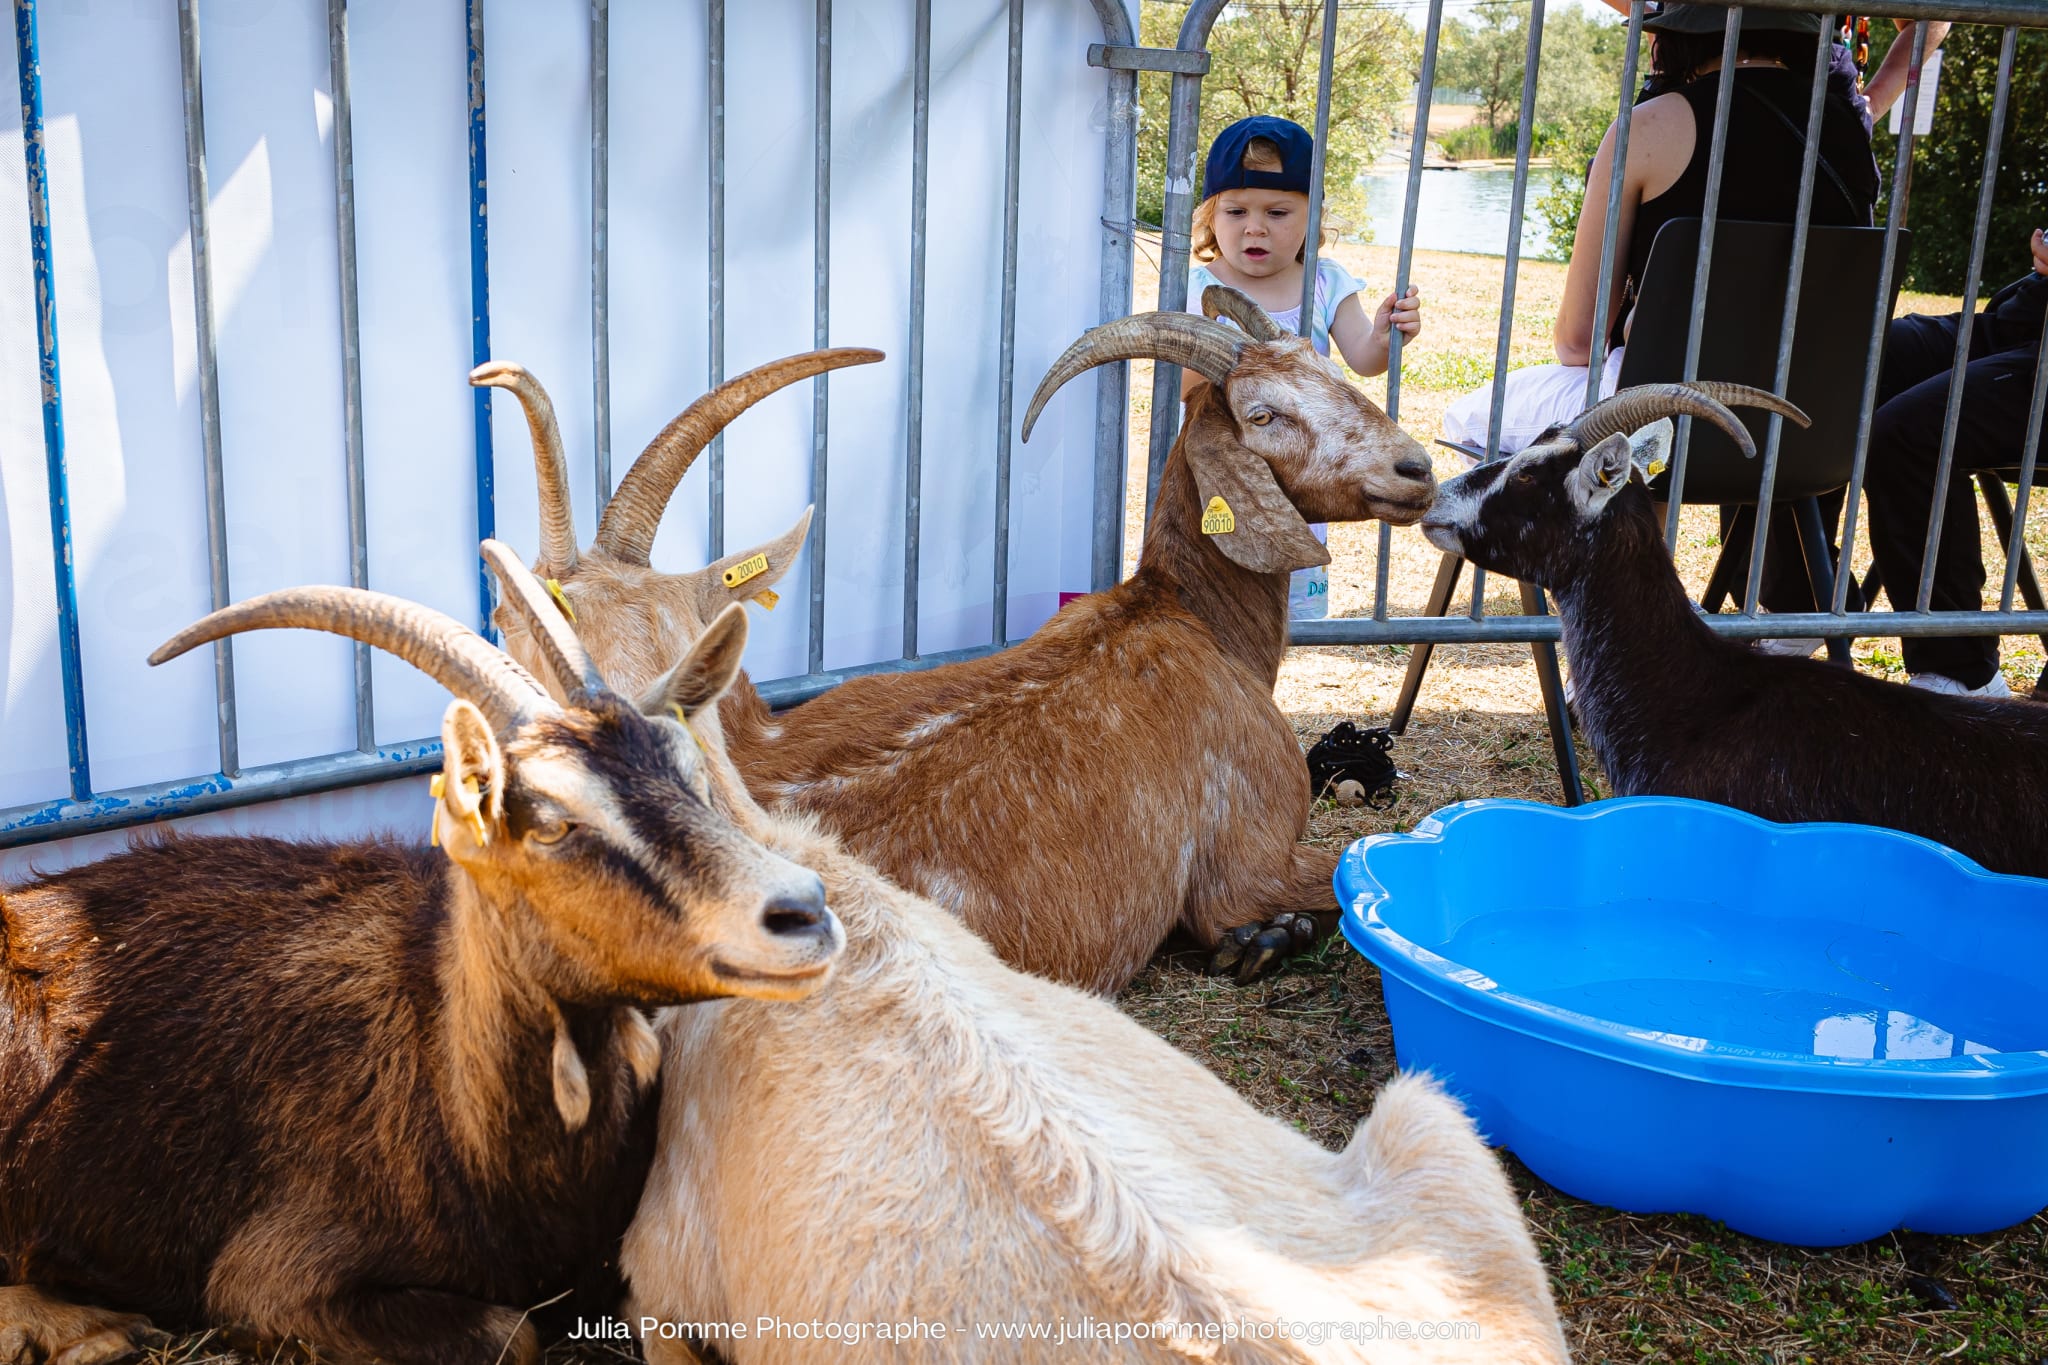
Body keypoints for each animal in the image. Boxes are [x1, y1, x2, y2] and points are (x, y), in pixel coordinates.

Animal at [0, 544, 843, 1365]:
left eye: (691, 772)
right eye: (550, 821)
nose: (805, 910)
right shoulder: (265, 1275)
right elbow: (512, 1331)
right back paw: (92, 1331)